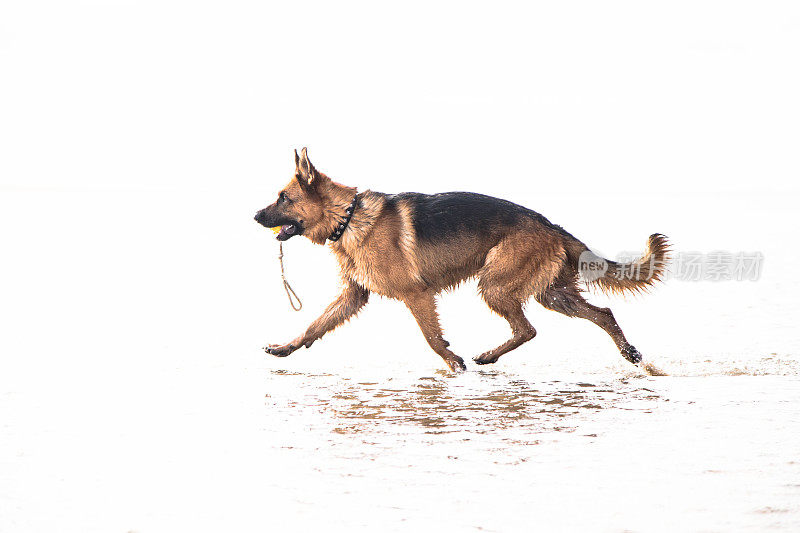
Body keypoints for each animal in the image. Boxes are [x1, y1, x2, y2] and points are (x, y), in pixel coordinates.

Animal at [256, 148, 668, 372]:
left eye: (283, 198)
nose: (255, 216)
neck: (349, 216)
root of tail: (551, 226)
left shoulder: (417, 295)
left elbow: (432, 339)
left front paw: (454, 364)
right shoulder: (353, 297)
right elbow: (313, 327)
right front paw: (285, 348)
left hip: (496, 284)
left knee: (528, 329)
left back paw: (486, 357)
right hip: (553, 294)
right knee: (601, 315)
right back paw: (631, 354)